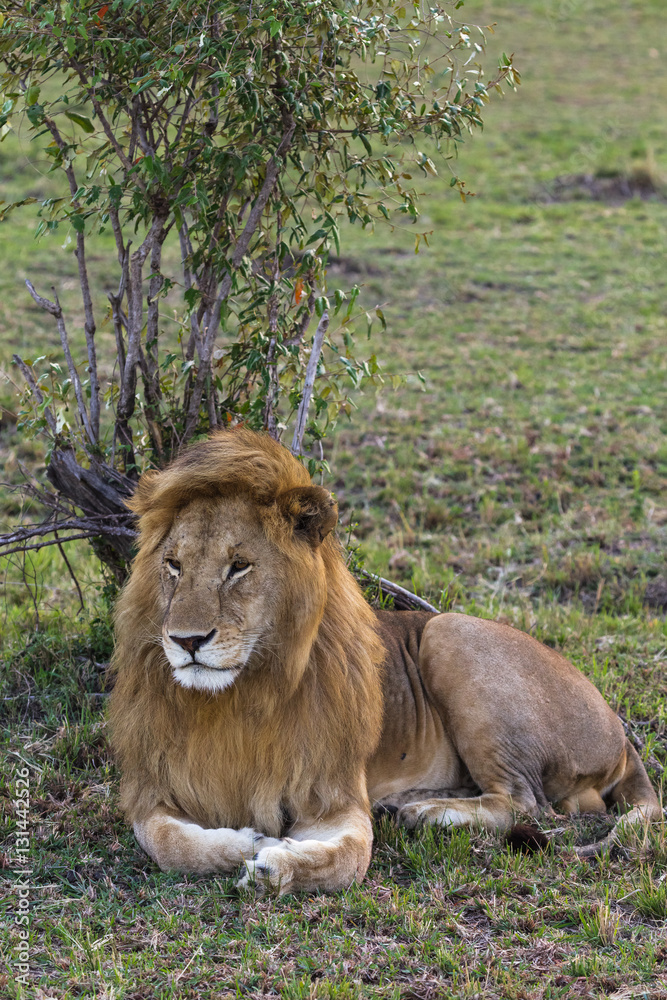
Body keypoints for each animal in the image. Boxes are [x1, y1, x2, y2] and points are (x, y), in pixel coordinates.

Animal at [109, 428, 661, 893]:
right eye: (173, 566)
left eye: (239, 567)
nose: (186, 640)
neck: (240, 695)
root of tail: (619, 730)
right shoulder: (154, 786)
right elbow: (169, 842)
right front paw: (245, 842)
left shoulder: (333, 792)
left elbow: (349, 857)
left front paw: (273, 864)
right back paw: (409, 803)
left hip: (447, 632)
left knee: (530, 804)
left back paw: (431, 813)